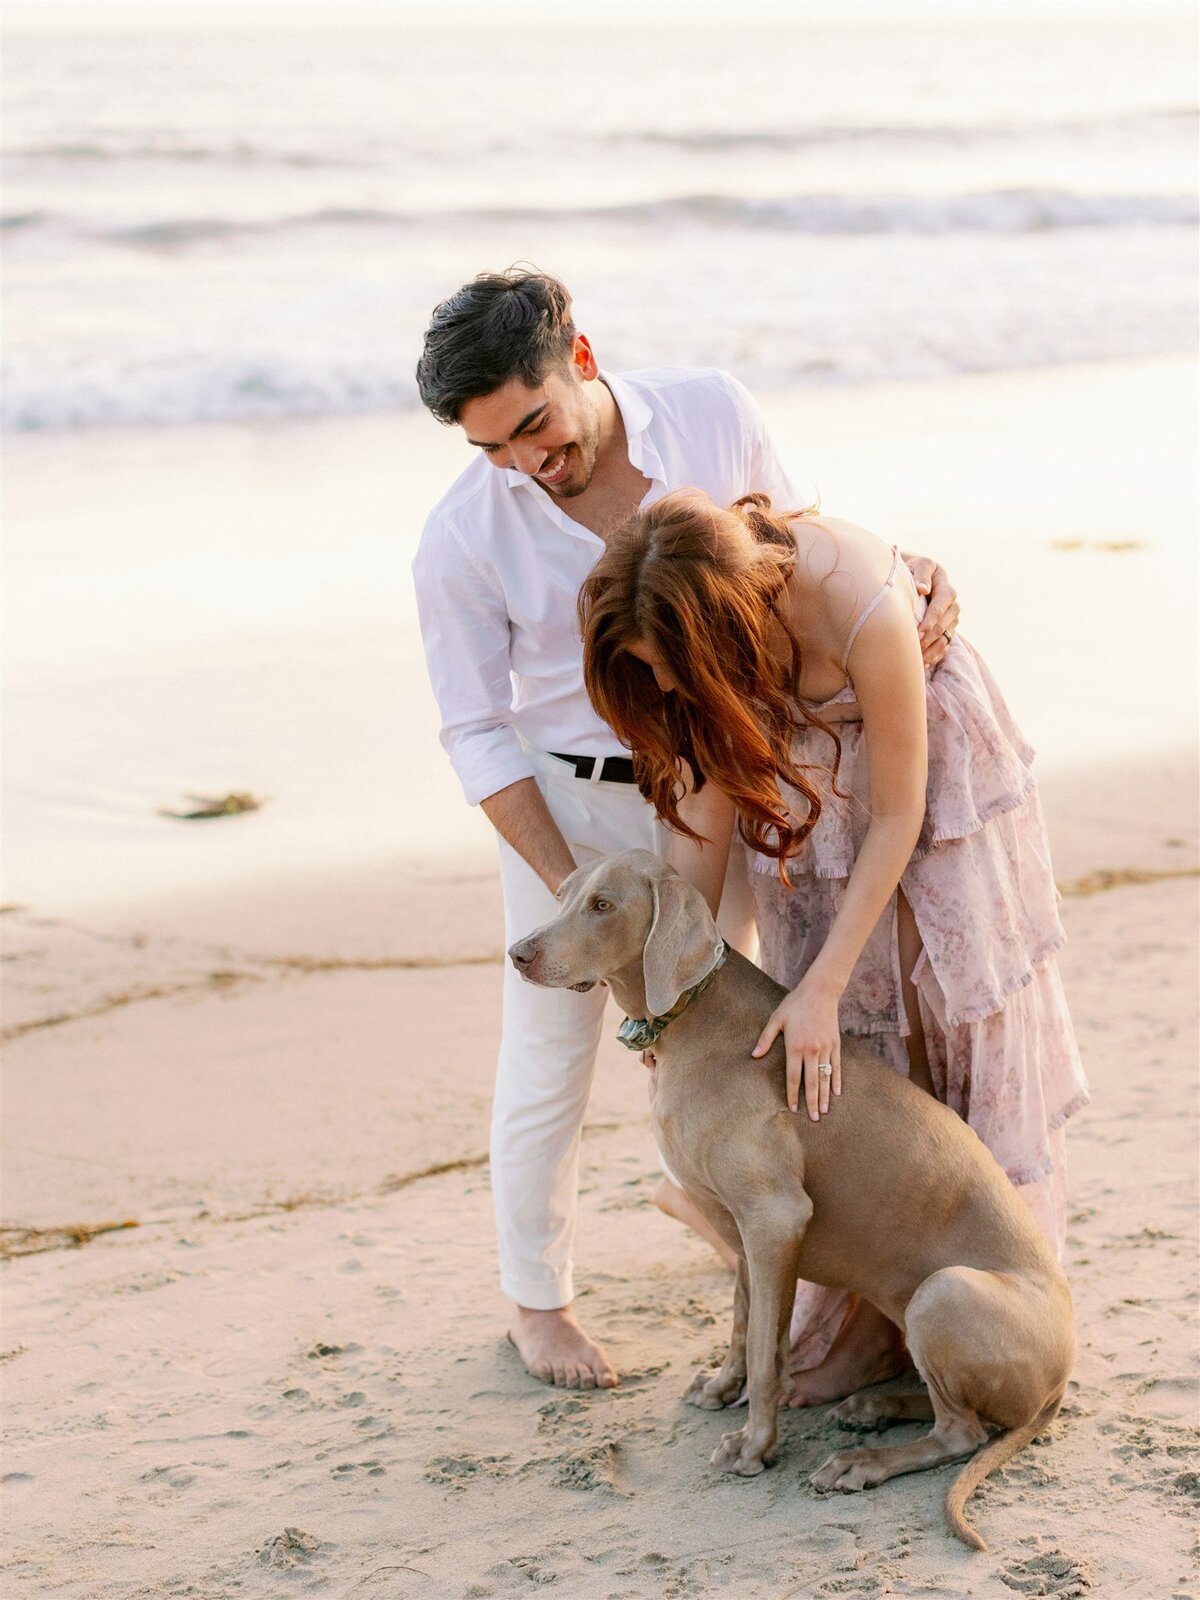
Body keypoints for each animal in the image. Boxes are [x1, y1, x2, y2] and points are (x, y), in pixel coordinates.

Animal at [508, 851, 1081, 1548]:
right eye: (561, 894)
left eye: (602, 906)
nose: (517, 953)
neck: (694, 1019)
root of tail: (1059, 1382)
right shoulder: (738, 1226)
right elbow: (741, 1322)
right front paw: (722, 1386)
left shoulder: (776, 1218)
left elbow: (766, 1349)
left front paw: (754, 1446)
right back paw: (872, 1406)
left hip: (944, 1291)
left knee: (963, 1433)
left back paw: (864, 1460)